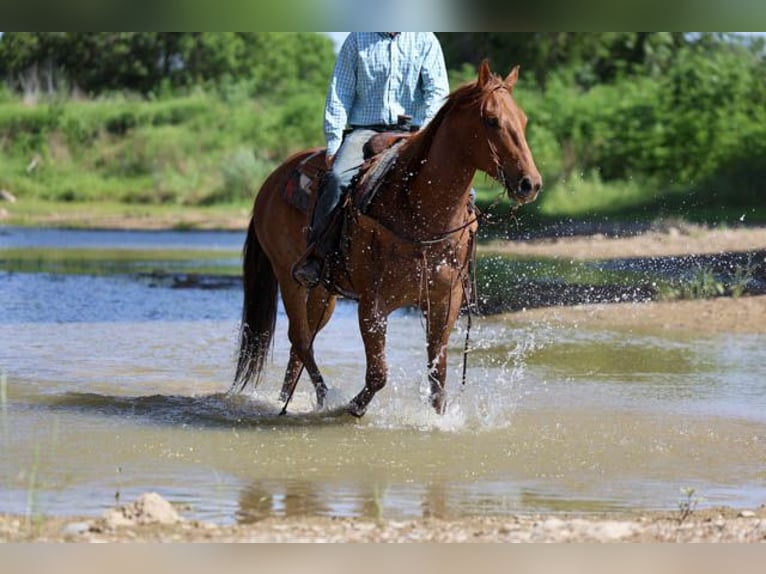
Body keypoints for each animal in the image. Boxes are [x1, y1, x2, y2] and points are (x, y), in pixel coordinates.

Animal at [233, 60, 542, 417]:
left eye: (523, 120)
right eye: (491, 119)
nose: (530, 183)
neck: (420, 214)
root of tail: (272, 180)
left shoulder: (444, 302)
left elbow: (438, 378)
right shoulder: (373, 305)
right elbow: (378, 373)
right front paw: (353, 407)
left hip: (325, 291)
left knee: (301, 343)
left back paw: (290, 398)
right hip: (289, 277)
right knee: (300, 338)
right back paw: (324, 397)